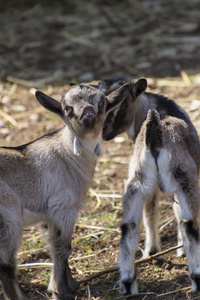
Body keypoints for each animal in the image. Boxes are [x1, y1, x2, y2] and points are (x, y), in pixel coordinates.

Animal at [0, 82, 130, 300]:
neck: (67, 154)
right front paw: (62, 291)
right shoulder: (64, 207)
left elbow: (53, 246)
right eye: (67, 108)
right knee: (6, 265)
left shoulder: (48, 216)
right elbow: (64, 248)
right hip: (9, 217)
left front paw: (69, 284)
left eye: (101, 103)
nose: (88, 112)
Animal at [101, 78, 200, 296]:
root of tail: (153, 131)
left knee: (129, 226)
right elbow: (176, 213)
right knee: (188, 223)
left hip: (136, 181)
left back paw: (128, 283)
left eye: (122, 105)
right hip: (184, 178)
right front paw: (179, 250)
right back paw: (197, 279)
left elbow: (151, 210)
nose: (102, 131)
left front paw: (152, 251)